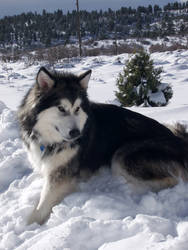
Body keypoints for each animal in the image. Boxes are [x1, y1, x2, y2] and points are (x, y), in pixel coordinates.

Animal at [18, 66, 188, 225]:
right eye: (61, 108)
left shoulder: (61, 176)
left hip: (122, 156)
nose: (76, 133)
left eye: (77, 108)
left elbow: (41, 207)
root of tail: (179, 141)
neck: (51, 141)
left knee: (171, 181)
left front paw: (28, 226)